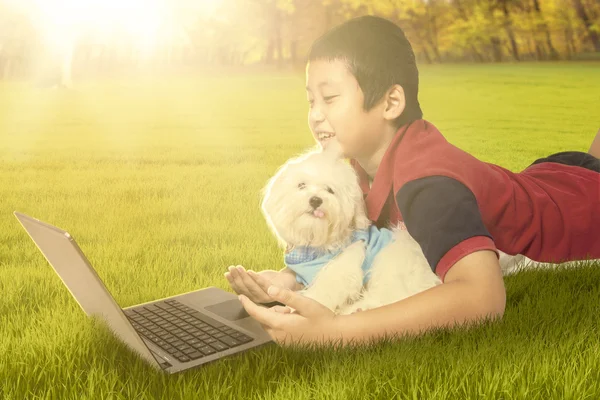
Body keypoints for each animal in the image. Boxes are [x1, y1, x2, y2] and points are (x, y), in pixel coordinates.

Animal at [262, 147, 440, 316]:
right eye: (301, 185)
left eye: (330, 190)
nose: (315, 200)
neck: (316, 243)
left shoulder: (342, 270)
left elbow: (326, 290)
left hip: (390, 261)